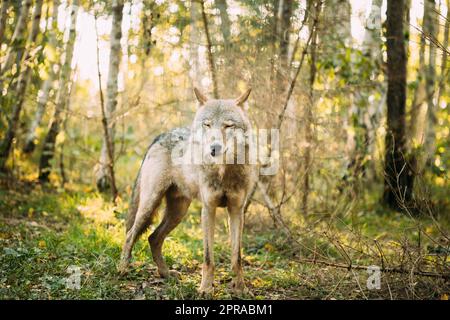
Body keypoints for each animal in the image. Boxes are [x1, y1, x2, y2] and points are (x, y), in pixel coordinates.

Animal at [118, 87, 255, 296]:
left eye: (228, 126)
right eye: (207, 125)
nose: (214, 148)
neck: (223, 171)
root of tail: (160, 136)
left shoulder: (236, 211)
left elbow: (236, 258)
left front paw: (240, 289)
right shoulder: (208, 209)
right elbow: (208, 258)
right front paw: (205, 289)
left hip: (178, 213)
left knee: (153, 237)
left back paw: (165, 274)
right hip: (150, 205)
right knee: (130, 234)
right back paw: (122, 269)